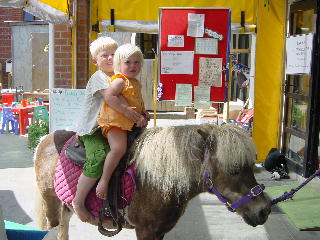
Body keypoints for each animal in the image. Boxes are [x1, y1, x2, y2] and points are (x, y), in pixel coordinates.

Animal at [34, 124, 270, 240]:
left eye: (251, 165)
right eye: (234, 169)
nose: (264, 210)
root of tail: (44, 139)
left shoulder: (159, 231)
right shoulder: (145, 231)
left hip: (65, 209)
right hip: (51, 206)